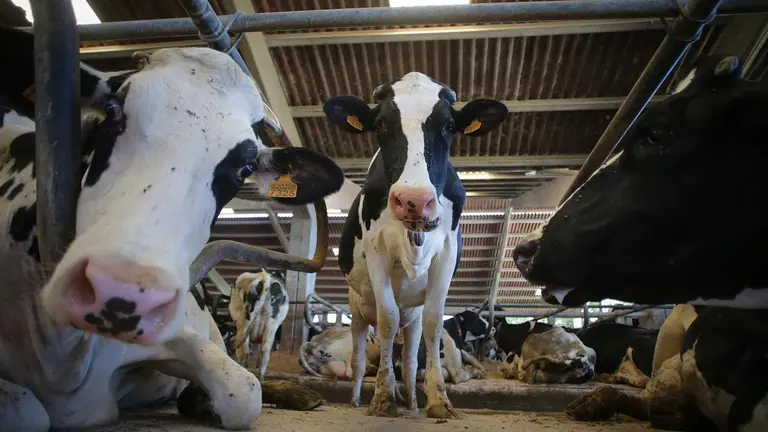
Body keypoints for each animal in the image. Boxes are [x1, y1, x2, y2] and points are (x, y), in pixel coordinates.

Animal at [0, 27, 344, 431]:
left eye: (244, 168)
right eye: (114, 109)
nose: (122, 292)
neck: (65, 354)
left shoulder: (178, 333)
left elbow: (244, 392)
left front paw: (203, 399)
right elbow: (25, 410)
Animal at [323, 71, 508, 418]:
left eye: (448, 125)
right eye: (380, 123)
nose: (415, 200)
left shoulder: (446, 254)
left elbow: (435, 323)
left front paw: (437, 400)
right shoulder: (377, 251)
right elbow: (387, 318)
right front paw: (383, 397)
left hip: (412, 319)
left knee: (408, 361)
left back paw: (410, 403)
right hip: (356, 311)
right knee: (358, 360)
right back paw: (357, 400)